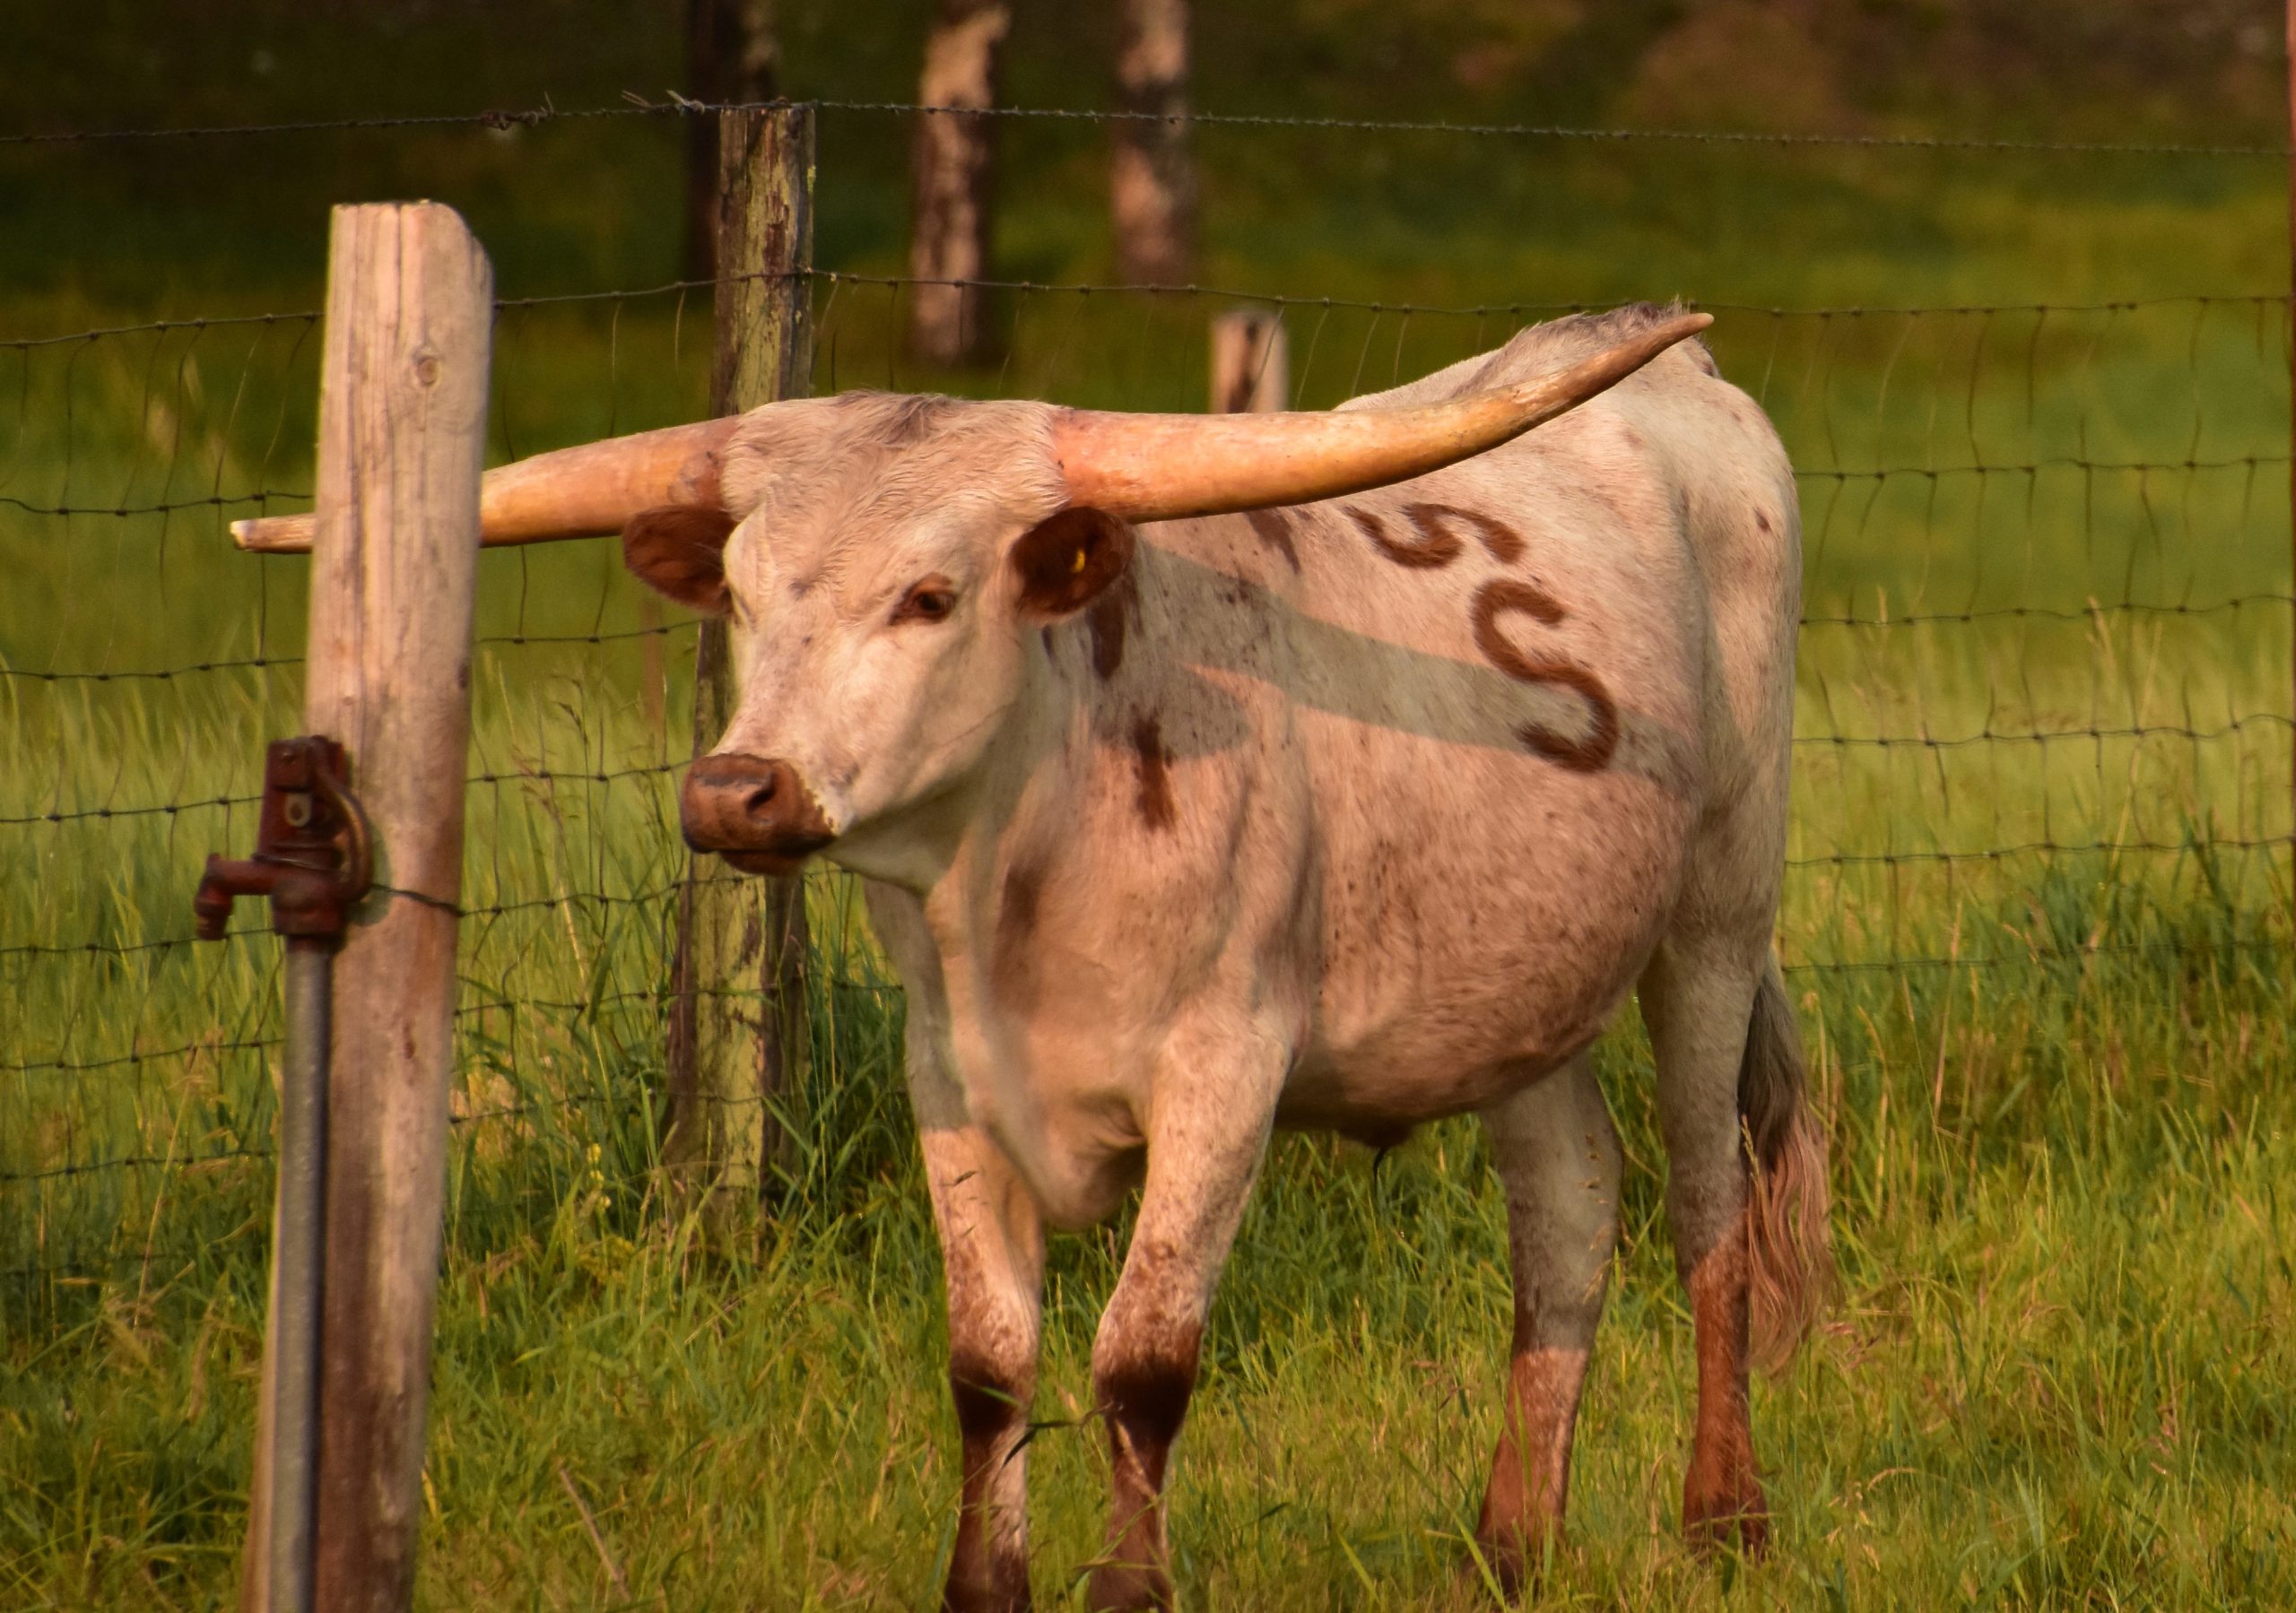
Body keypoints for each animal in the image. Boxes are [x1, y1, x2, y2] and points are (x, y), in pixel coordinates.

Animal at [369, 304, 1833, 1607]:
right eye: (737, 593)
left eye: (930, 596)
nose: (737, 791)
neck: (1017, 869)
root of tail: (1688, 380)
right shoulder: (947, 1076)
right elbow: (987, 1360)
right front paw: (983, 1583)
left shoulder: (1224, 1072)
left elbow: (1143, 1359)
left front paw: (1130, 1587)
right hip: (1518, 983)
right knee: (1573, 1204)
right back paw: (1509, 1549)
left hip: (1716, 916)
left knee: (1709, 1211)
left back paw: (1725, 1520)